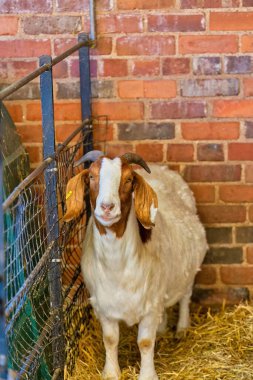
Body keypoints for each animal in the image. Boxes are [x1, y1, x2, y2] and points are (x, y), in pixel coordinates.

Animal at [63, 151, 208, 380]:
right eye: (92, 177)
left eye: (129, 179)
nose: (106, 207)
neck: (118, 266)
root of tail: (160, 168)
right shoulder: (104, 306)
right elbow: (110, 339)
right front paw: (110, 373)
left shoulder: (149, 307)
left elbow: (145, 342)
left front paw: (148, 375)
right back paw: (163, 327)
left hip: (188, 270)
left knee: (185, 296)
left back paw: (182, 328)